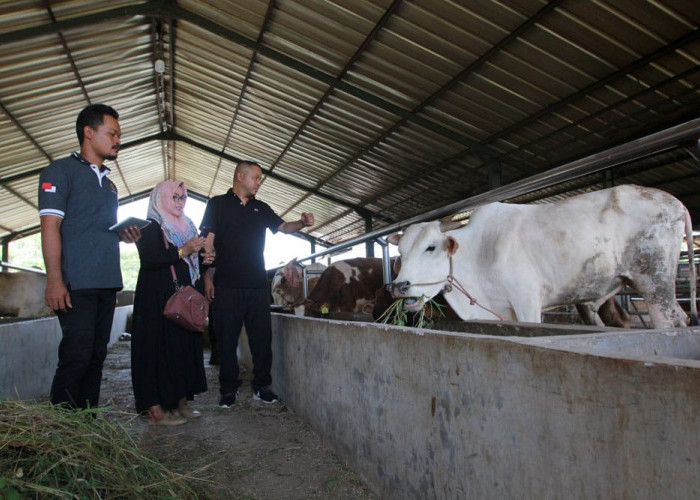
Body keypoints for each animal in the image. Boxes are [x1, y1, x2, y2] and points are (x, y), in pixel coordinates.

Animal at [392, 184, 696, 328]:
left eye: (431, 247)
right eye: (401, 252)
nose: (399, 286)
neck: (478, 253)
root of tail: (675, 202)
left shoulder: (527, 302)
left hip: (654, 282)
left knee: (671, 320)